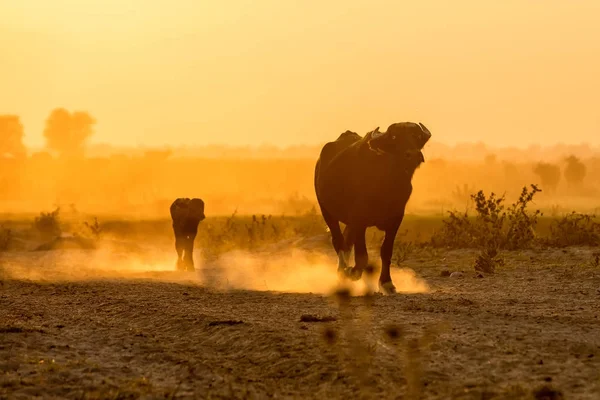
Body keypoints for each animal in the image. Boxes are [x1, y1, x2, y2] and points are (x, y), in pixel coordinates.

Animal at [314, 122, 432, 294]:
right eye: (395, 137)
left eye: (416, 136)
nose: (413, 155)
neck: (388, 180)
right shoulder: (359, 220)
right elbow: (362, 255)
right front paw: (353, 272)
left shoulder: (396, 219)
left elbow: (386, 251)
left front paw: (387, 283)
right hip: (327, 211)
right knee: (338, 240)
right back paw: (342, 271)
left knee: (346, 241)